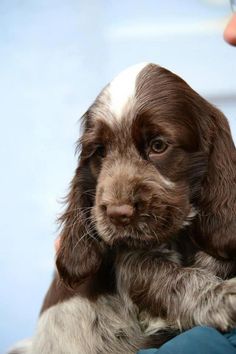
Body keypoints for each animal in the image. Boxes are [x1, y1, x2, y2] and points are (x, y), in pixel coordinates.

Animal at [9, 63, 236, 354]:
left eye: (158, 145)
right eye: (100, 151)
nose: (118, 214)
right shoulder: (132, 261)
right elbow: (171, 279)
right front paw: (226, 297)